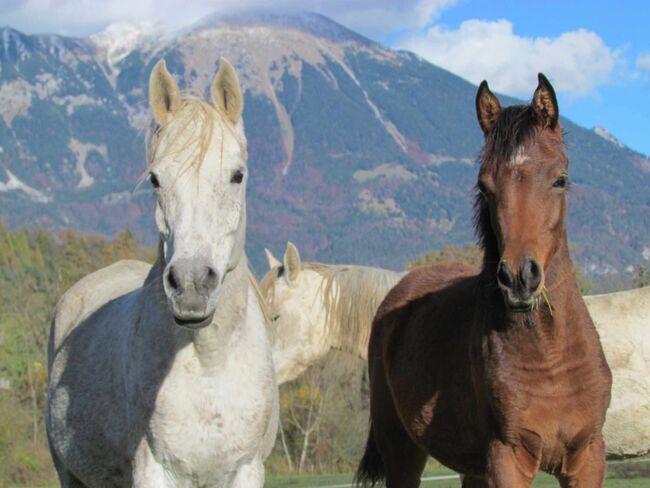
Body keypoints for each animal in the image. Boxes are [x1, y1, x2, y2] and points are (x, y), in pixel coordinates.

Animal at [45, 59, 278, 486]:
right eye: (155, 179)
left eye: (237, 175)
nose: (191, 284)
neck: (209, 364)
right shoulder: (155, 468)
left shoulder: (246, 469)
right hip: (68, 472)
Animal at [354, 73, 612, 488]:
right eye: (485, 186)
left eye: (560, 179)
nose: (519, 278)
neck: (551, 355)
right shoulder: (508, 458)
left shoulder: (588, 457)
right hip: (402, 452)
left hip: (471, 466)